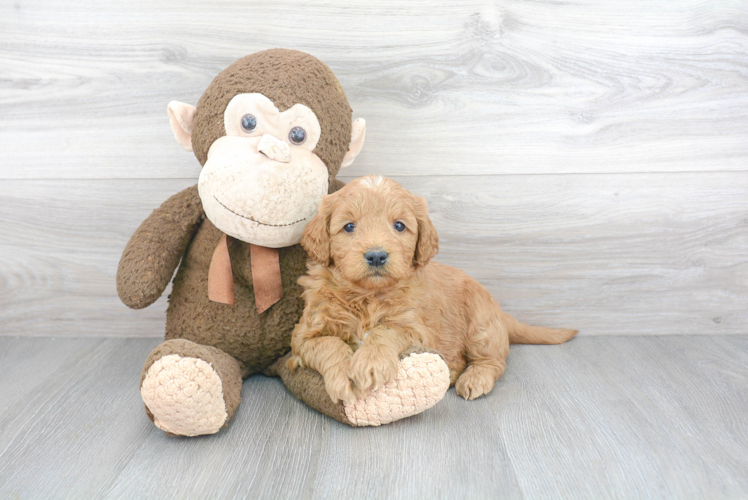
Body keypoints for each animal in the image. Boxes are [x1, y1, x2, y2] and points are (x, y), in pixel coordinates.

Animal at [290, 176, 576, 402]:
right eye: (349, 226)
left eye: (399, 225)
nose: (376, 256)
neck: (368, 296)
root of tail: (500, 314)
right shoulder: (304, 334)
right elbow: (329, 344)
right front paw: (344, 376)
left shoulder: (416, 329)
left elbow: (384, 330)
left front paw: (371, 362)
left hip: (481, 327)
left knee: (493, 361)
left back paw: (475, 378)